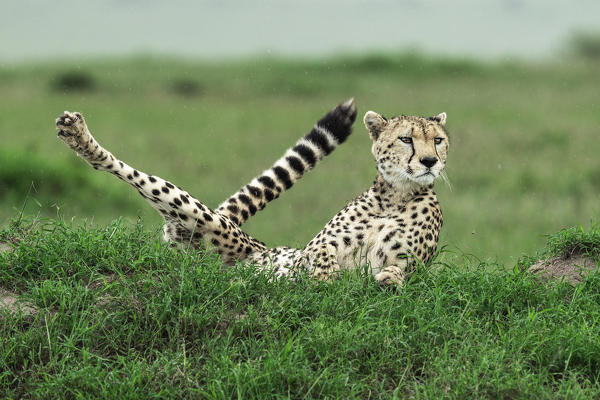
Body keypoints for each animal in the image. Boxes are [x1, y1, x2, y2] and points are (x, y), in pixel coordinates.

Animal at [57, 101, 450, 286]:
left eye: (438, 140)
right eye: (406, 139)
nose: (430, 161)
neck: (395, 196)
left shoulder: (409, 263)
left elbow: (400, 272)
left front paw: (387, 281)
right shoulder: (314, 248)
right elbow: (320, 253)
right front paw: (322, 278)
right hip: (206, 220)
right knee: (133, 173)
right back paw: (78, 135)